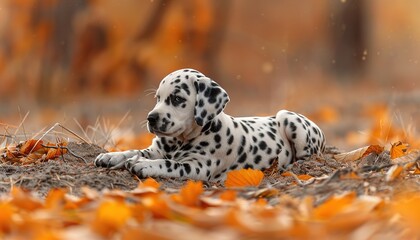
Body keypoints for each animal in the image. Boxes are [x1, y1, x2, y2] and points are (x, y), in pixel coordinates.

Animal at [94, 68, 324, 181]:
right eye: (158, 98)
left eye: (177, 99)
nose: (151, 118)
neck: (180, 141)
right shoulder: (156, 150)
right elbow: (133, 150)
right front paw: (111, 156)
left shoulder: (197, 166)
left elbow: (169, 163)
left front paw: (144, 165)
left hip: (288, 117)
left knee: (307, 156)